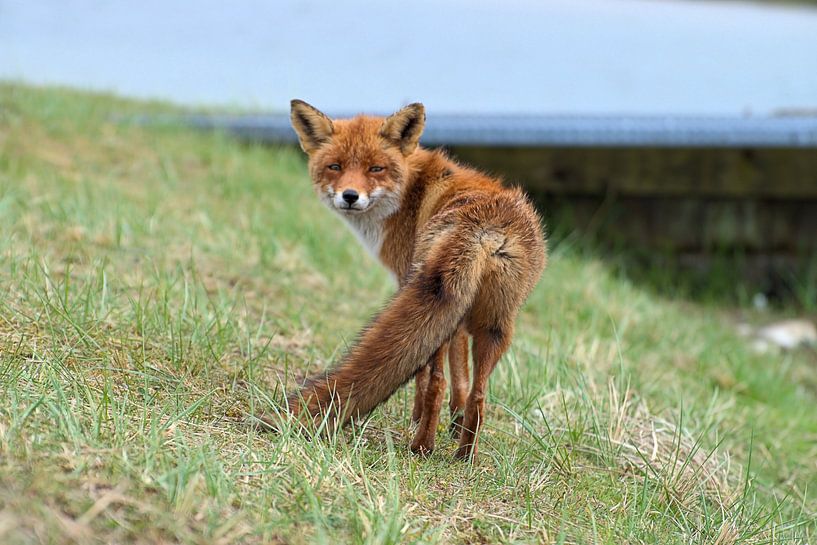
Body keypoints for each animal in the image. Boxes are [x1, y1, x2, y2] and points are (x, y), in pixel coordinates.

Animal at [282, 99, 546, 460]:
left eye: (375, 169)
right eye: (335, 167)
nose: (349, 196)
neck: (409, 192)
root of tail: (485, 226)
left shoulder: (406, 278)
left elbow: (425, 378)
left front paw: (417, 417)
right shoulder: (459, 318)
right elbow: (461, 378)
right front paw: (456, 422)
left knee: (437, 382)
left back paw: (421, 445)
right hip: (496, 324)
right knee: (480, 395)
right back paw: (465, 455)